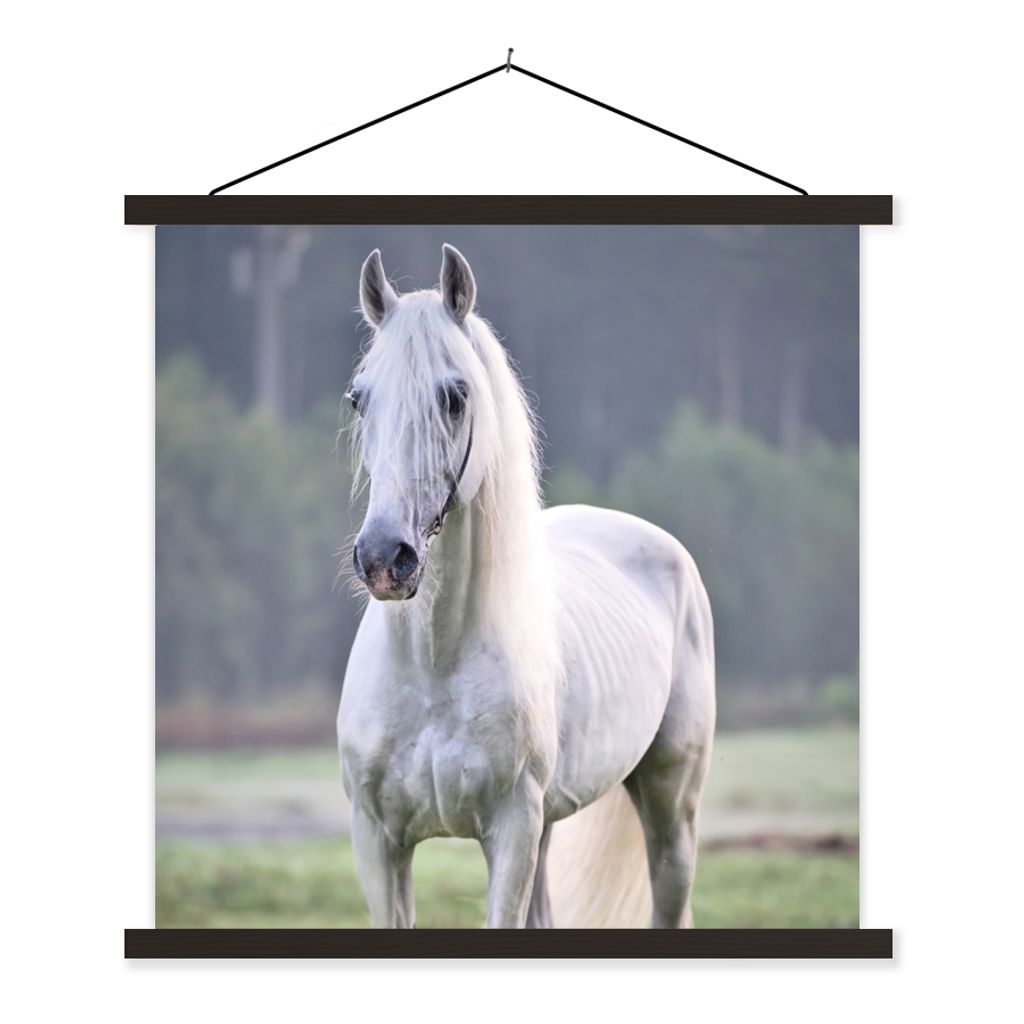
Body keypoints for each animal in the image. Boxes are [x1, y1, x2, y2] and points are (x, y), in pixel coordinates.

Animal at [337, 244, 716, 928]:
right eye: (359, 399)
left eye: (455, 396)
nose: (384, 559)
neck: (433, 667)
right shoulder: (377, 841)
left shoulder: (511, 831)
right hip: (550, 826)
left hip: (670, 815)